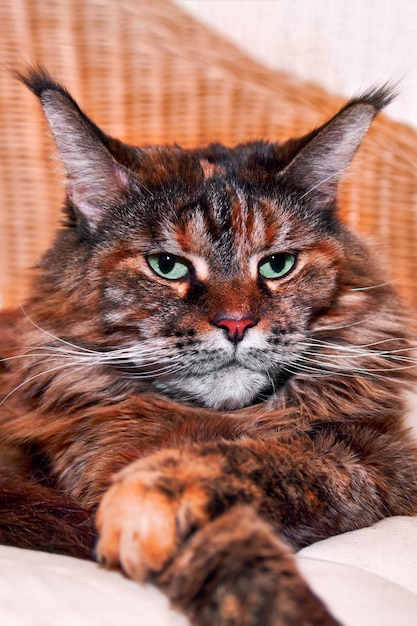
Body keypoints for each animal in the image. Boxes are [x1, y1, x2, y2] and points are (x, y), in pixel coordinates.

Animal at [0, 66, 416, 620]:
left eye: (277, 265)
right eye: (167, 266)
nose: (236, 324)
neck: (228, 419)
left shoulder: (380, 460)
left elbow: (273, 462)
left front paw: (162, 488)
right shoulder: (95, 466)